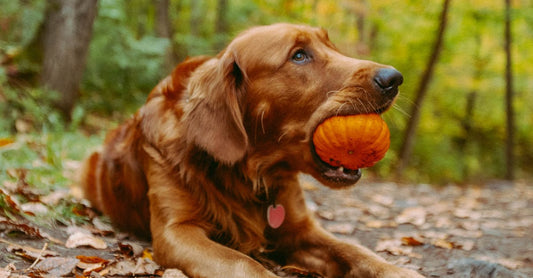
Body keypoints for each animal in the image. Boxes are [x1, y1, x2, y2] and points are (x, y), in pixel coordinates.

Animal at [81, 22, 422, 276]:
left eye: (332, 45)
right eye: (299, 55)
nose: (393, 78)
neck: (252, 174)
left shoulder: (301, 230)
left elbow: (355, 250)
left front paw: (398, 270)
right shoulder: (177, 231)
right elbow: (243, 263)